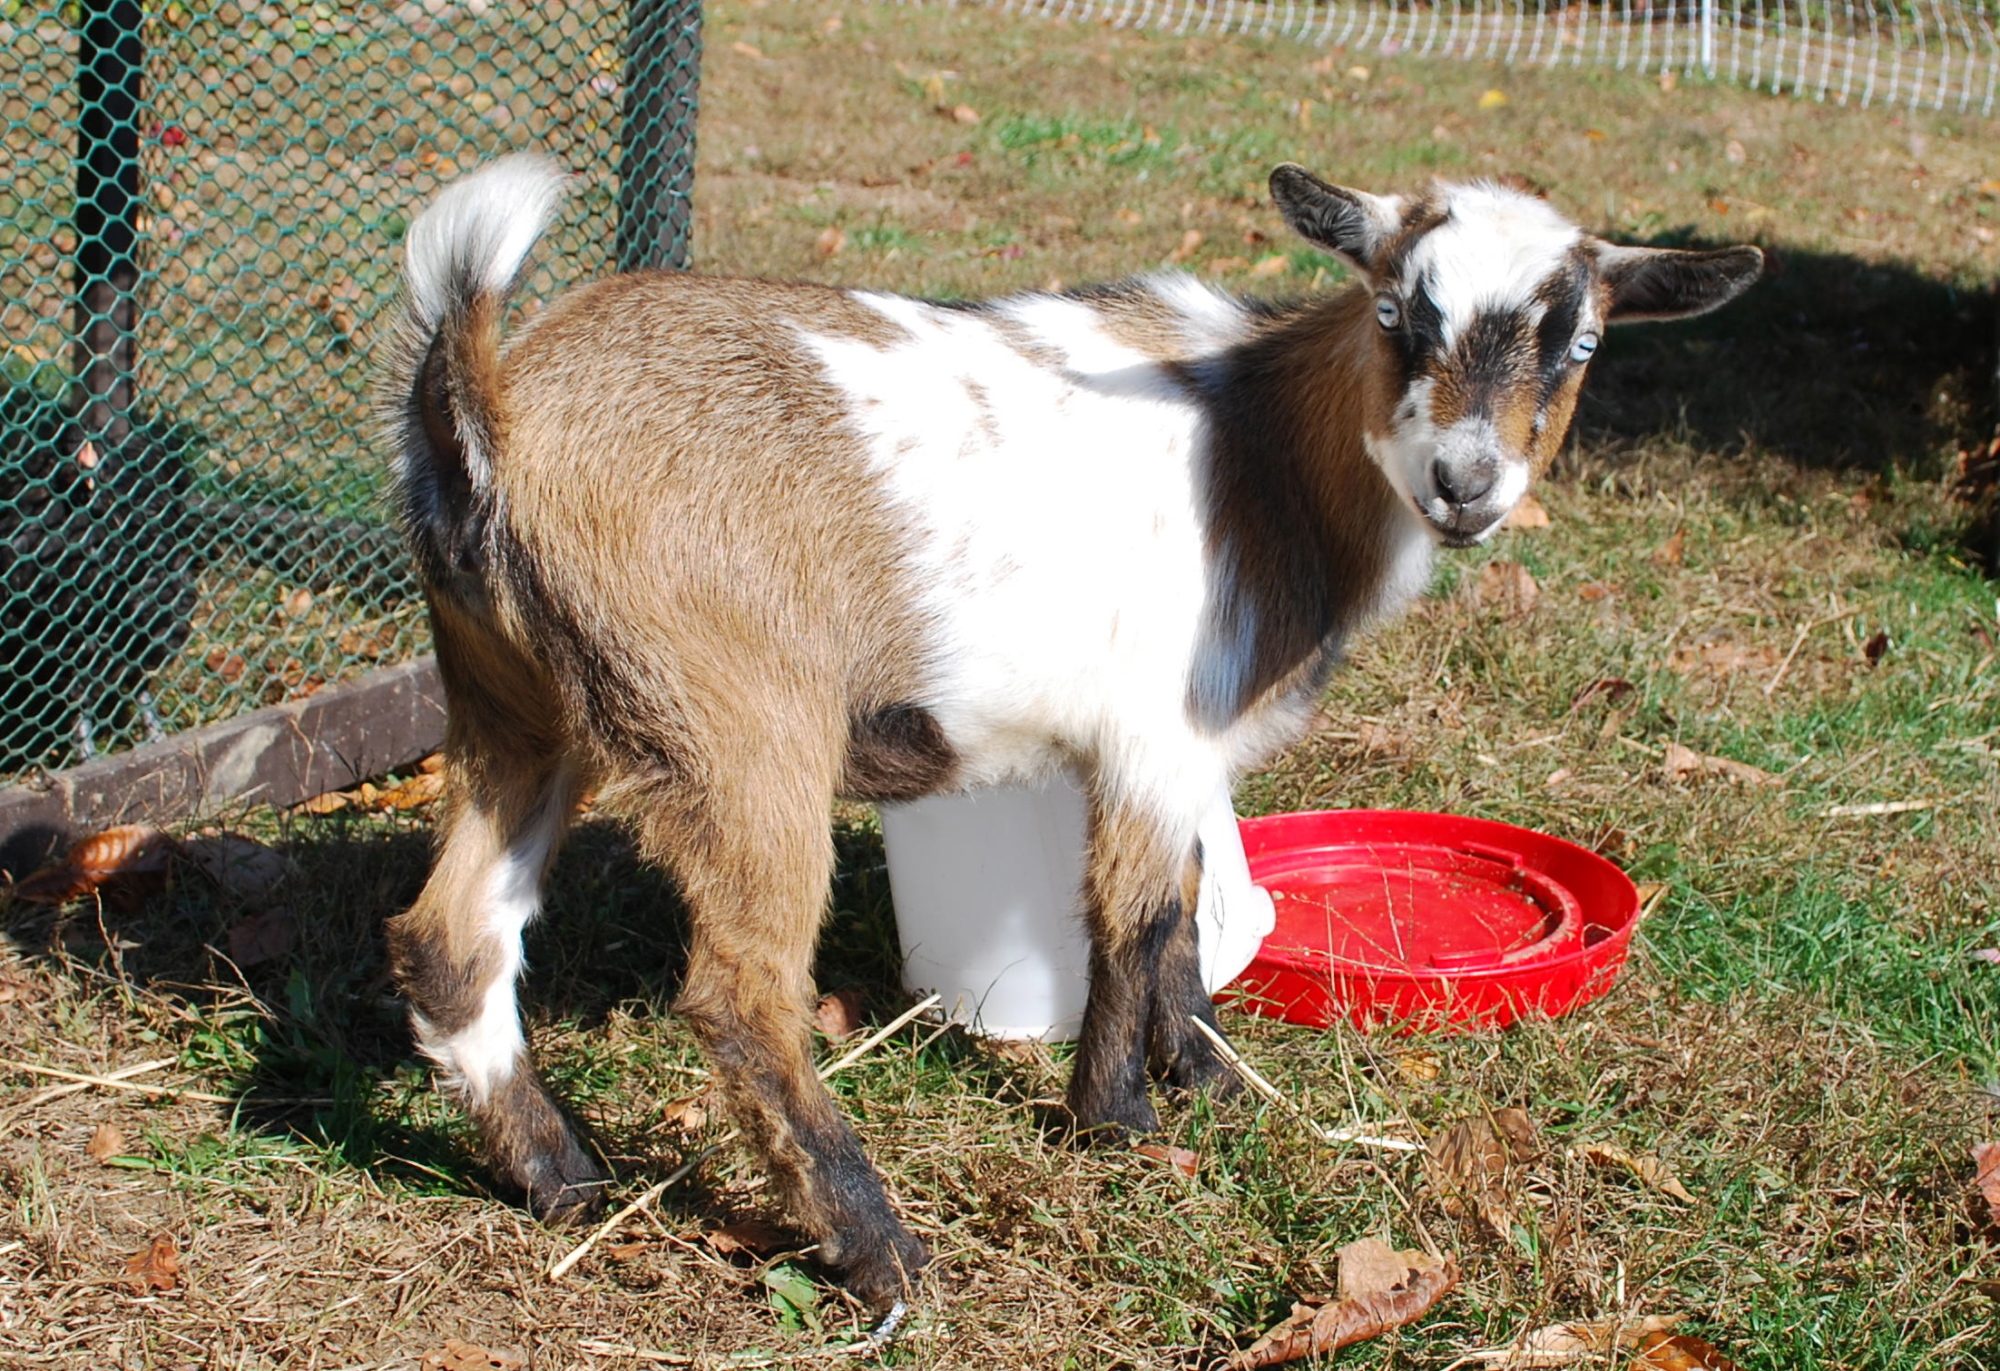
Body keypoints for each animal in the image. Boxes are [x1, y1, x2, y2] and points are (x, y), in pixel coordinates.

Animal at [378, 154, 1761, 1305]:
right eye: (1392, 315)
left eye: (1579, 340)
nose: (1465, 483)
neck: (1265, 454)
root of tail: (491, 403)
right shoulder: (1154, 729)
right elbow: (1135, 913)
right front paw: (1119, 1122)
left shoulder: (1183, 751)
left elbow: (1186, 908)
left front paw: (1208, 1078)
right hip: (735, 725)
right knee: (737, 993)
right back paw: (879, 1250)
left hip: (515, 702)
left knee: (451, 940)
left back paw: (563, 1176)